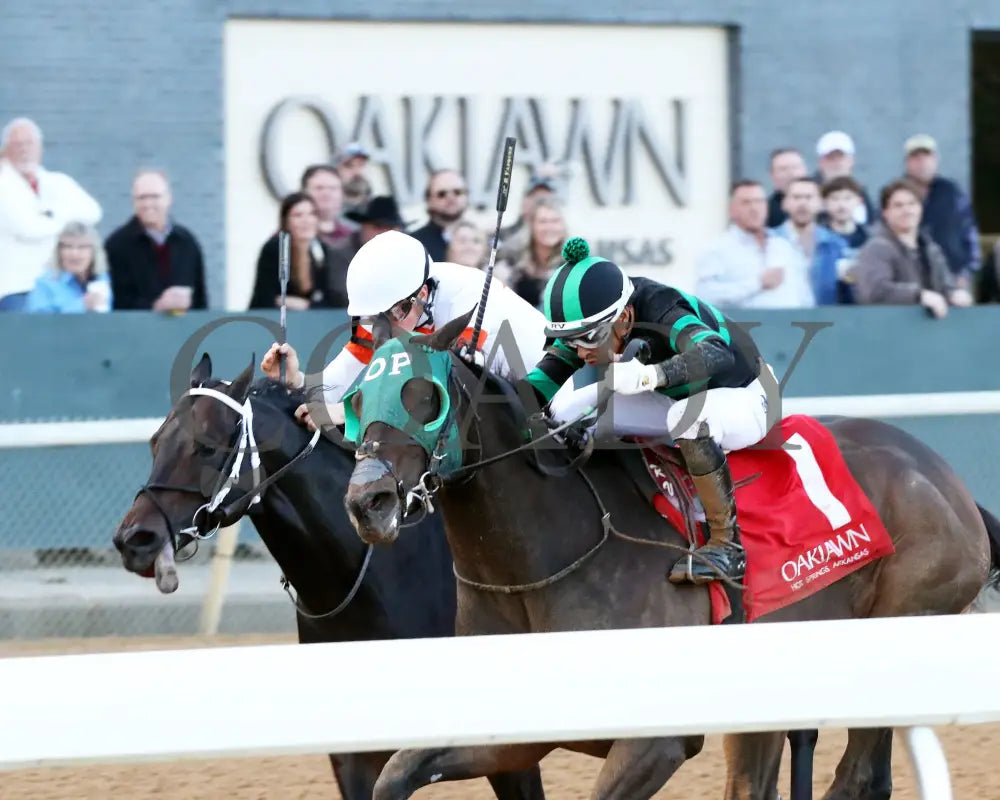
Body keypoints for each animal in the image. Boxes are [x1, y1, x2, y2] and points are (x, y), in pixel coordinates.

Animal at [344, 312, 1000, 800]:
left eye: (426, 396)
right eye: (356, 399)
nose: (367, 501)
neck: (536, 566)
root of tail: (944, 477)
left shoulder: (654, 742)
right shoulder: (512, 728)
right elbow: (393, 776)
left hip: (907, 615)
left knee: (858, 777)